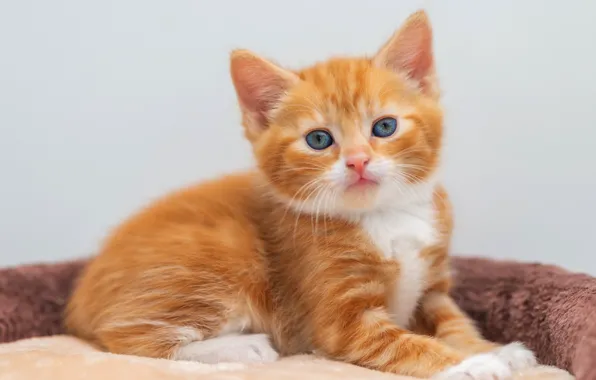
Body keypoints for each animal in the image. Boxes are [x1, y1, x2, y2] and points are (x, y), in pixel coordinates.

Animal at [67, 10, 536, 378]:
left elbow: (455, 323)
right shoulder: (342, 320)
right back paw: (241, 347)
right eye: (319, 139)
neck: (385, 217)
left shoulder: (433, 288)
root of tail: (80, 299)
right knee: (126, 339)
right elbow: (405, 343)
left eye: (384, 127)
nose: (358, 161)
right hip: (221, 256)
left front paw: (495, 350)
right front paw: (469, 364)